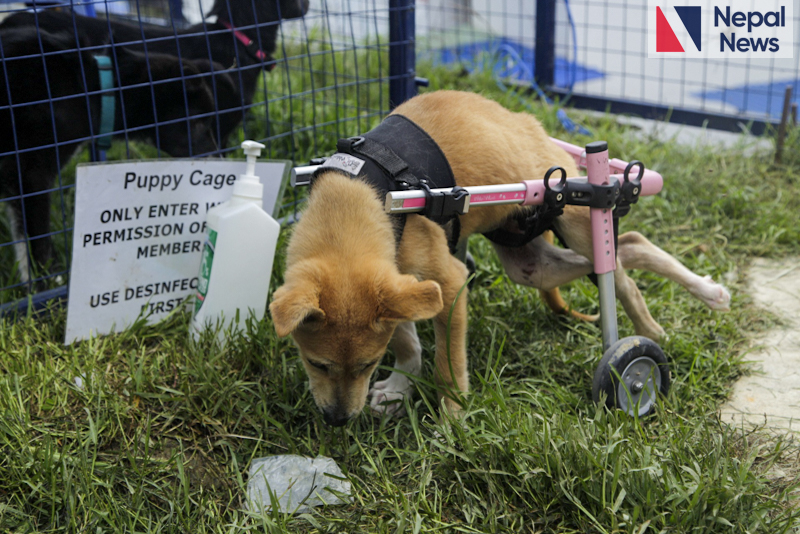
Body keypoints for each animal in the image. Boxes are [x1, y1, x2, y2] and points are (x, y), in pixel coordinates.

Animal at [0, 26, 234, 284]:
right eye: (198, 122)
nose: (223, 164)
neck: (94, 89)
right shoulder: (31, 177)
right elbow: (37, 247)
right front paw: (48, 285)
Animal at [270, 92, 732, 428]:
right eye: (314, 362)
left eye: (366, 364)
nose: (337, 421)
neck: (368, 192)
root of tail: (531, 125)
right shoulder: (403, 283)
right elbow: (405, 338)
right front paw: (401, 383)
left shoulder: (449, 283)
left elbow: (448, 365)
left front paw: (452, 420)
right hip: (526, 258)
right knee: (629, 246)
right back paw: (691, 299)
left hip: (579, 217)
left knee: (618, 265)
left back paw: (663, 322)